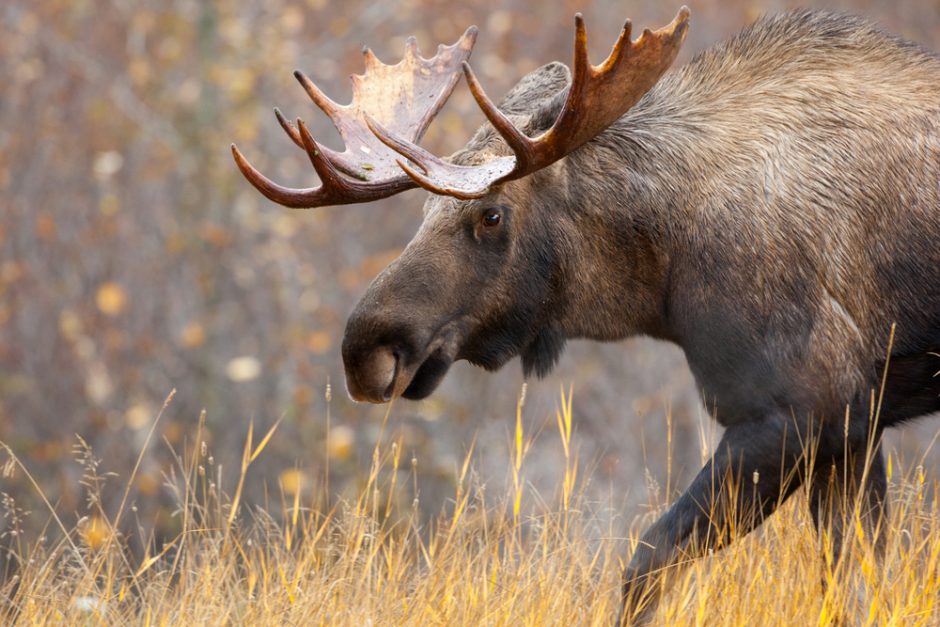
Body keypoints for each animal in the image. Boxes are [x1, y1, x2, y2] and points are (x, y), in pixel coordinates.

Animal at [229, 6, 940, 624]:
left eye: (491, 214)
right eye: (421, 212)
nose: (365, 349)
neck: (664, 272)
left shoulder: (798, 410)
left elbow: (648, 560)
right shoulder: (853, 430)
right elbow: (855, 586)